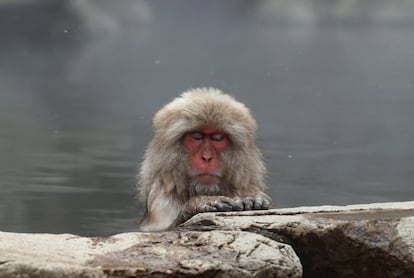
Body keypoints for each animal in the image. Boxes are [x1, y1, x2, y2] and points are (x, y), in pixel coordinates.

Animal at [137, 88, 272, 231]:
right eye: (197, 136)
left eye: (218, 138)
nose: (206, 158)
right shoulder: (162, 199)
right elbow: (159, 230)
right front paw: (202, 202)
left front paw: (250, 199)